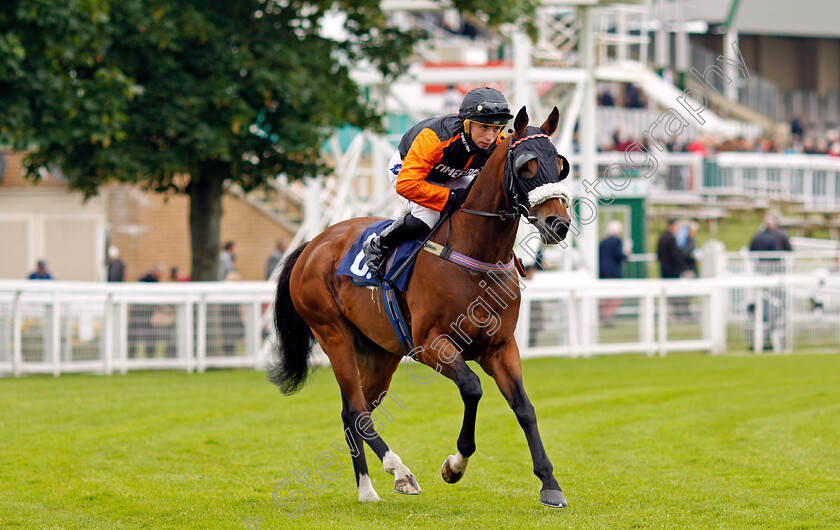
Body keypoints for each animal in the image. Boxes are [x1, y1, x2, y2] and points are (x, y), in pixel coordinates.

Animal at [272, 105, 576, 506]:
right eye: (527, 165)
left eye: (560, 164)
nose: (558, 223)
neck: (476, 253)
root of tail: (312, 244)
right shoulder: (431, 344)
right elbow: (472, 388)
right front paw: (454, 465)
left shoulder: (501, 347)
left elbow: (524, 407)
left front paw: (550, 483)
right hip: (333, 334)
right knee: (357, 409)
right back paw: (399, 471)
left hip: (379, 352)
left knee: (353, 411)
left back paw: (367, 489)